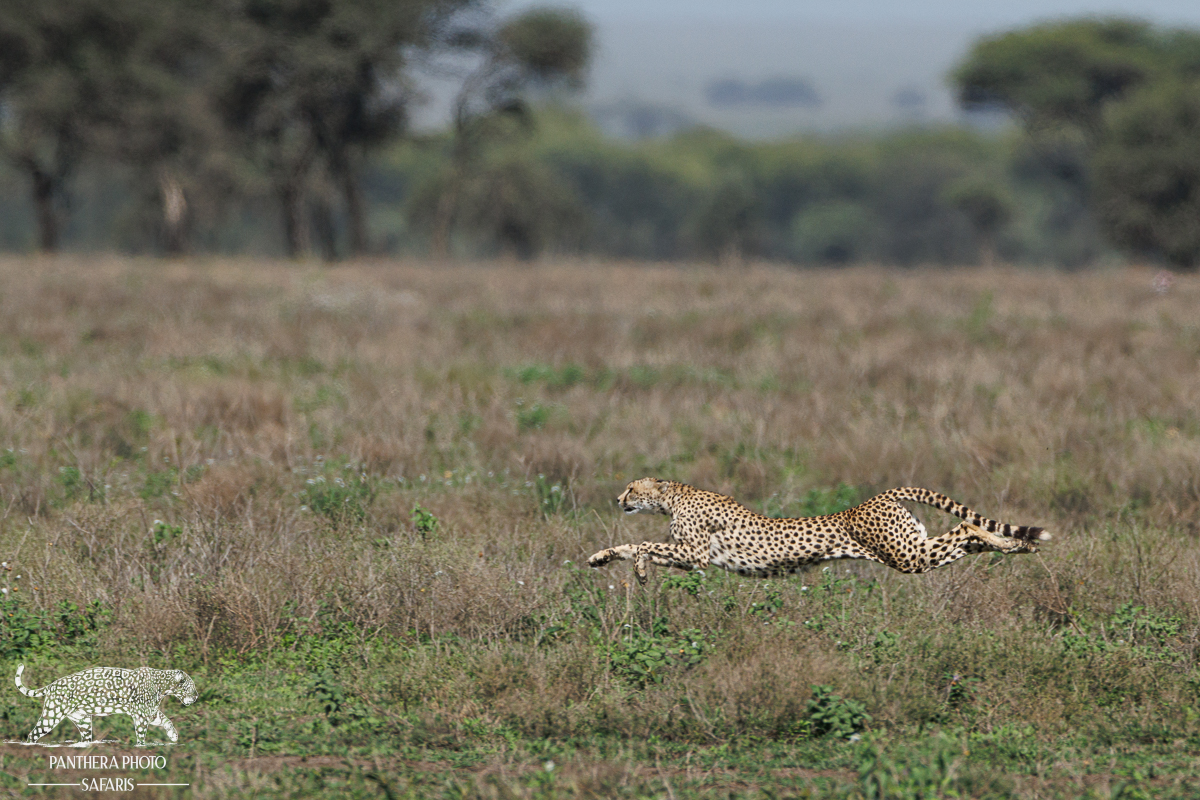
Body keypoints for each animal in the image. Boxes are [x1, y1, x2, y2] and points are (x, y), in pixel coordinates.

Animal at [15, 664, 198, 746]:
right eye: (191, 686)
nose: (196, 697)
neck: (162, 686)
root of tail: (51, 685)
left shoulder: (151, 712)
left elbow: (167, 720)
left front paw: (173, 736)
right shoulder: (141, 715)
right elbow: (141, 734)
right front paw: (141, 746)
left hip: (82, 720)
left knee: (85, 738)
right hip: (52, 715)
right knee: (33, 734)